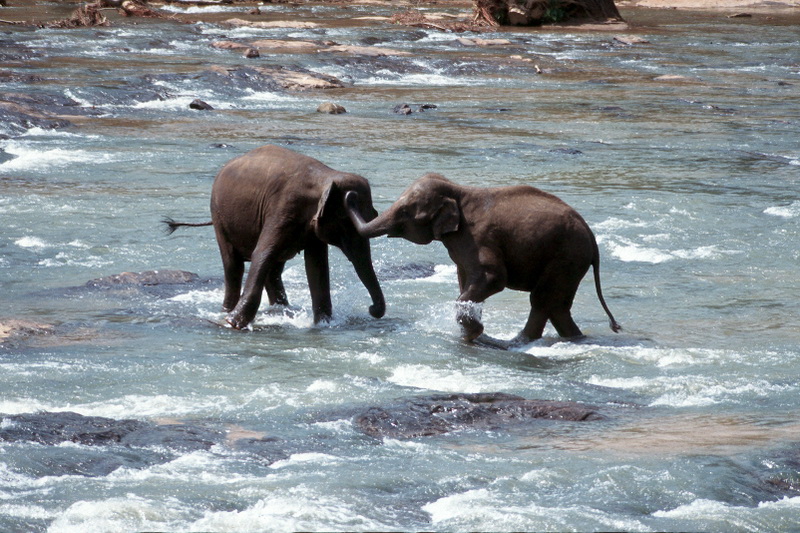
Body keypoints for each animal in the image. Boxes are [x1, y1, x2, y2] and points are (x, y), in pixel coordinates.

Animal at [162, 144, 384, 328]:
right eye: (345, 220)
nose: (372, 310)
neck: (326, 177)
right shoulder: (283, 208)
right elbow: (262, 253)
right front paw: (233, 323)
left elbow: (317, 266)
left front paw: (323, 323)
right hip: (219, 217)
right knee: (234, 266)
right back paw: (228, 311)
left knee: (274, 268)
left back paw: (281, 310)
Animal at [344, 172, 620, 342]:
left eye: (404, 212)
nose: (351, 195)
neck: (458, 190)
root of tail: (591, 237)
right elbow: (465, 278)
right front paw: (470, 332)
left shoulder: (478, 238)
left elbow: (493, 277)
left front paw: (474, 332)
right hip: (571, 259)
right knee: (555, 305)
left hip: (567, 256)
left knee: (543, 300)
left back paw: (516, 342)